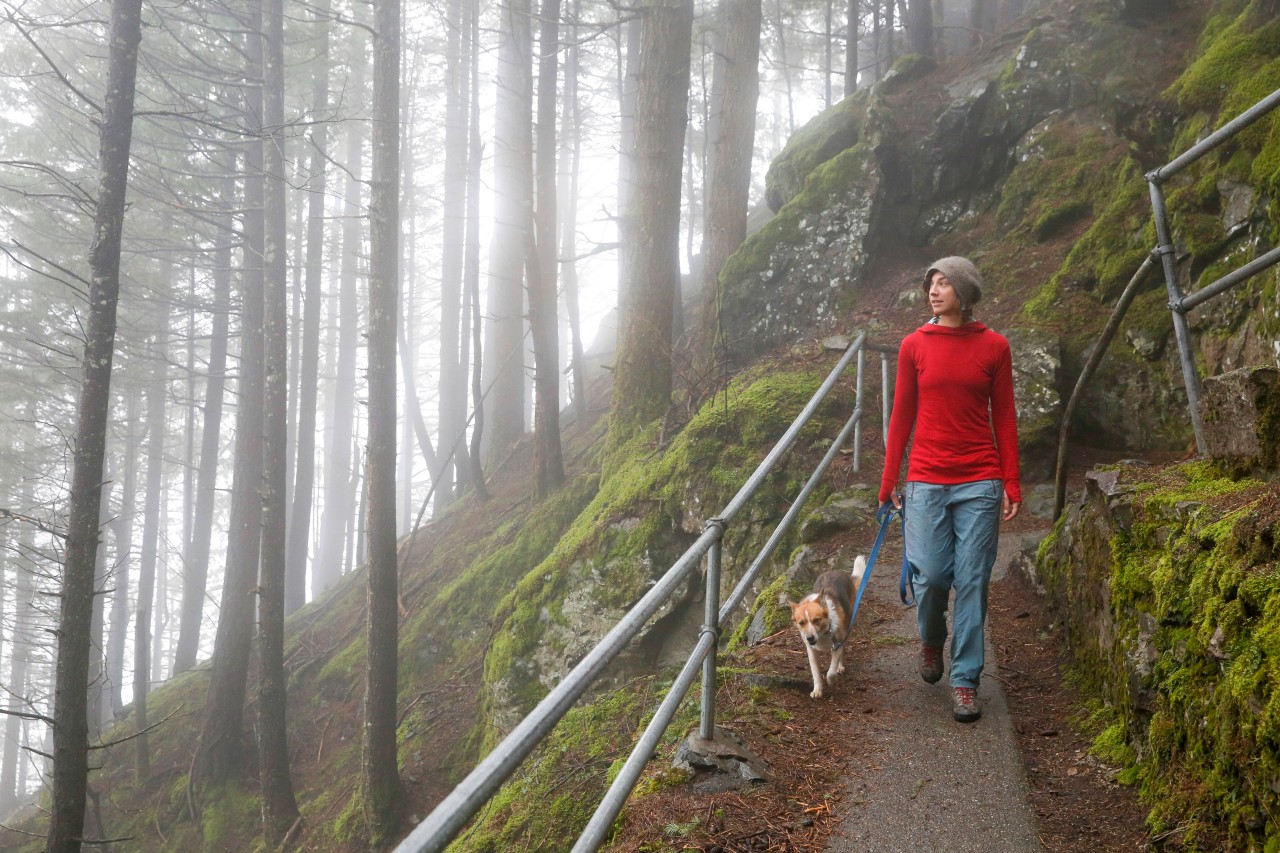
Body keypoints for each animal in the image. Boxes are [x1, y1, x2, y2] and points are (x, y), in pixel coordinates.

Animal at [783, 550, 865, 696]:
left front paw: (832, 680)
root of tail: (841, 573)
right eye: (801, 623)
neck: (824, 634)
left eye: (817, 620)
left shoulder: (837, 644)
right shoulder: (811, 652)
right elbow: (815, 673)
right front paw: (817, 690)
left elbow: (830, 672)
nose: (810, 638)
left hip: (847, 626)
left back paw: (840, 667)